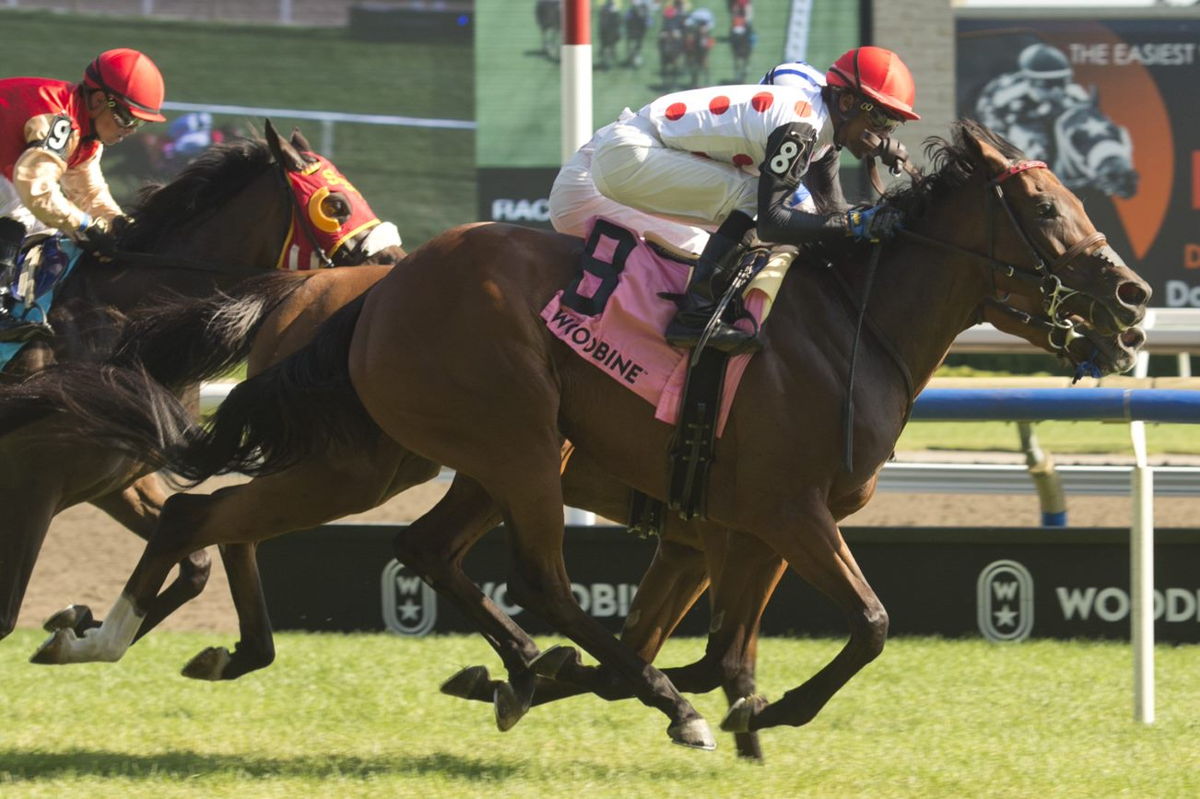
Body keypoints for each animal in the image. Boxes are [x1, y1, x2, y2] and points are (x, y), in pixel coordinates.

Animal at [0, 122, 403, 643]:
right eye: (334, 205)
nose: (397, 261)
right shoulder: (31, 479)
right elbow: (6, 616)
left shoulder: (117, 482)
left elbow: (195, 563)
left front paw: (79, 627)